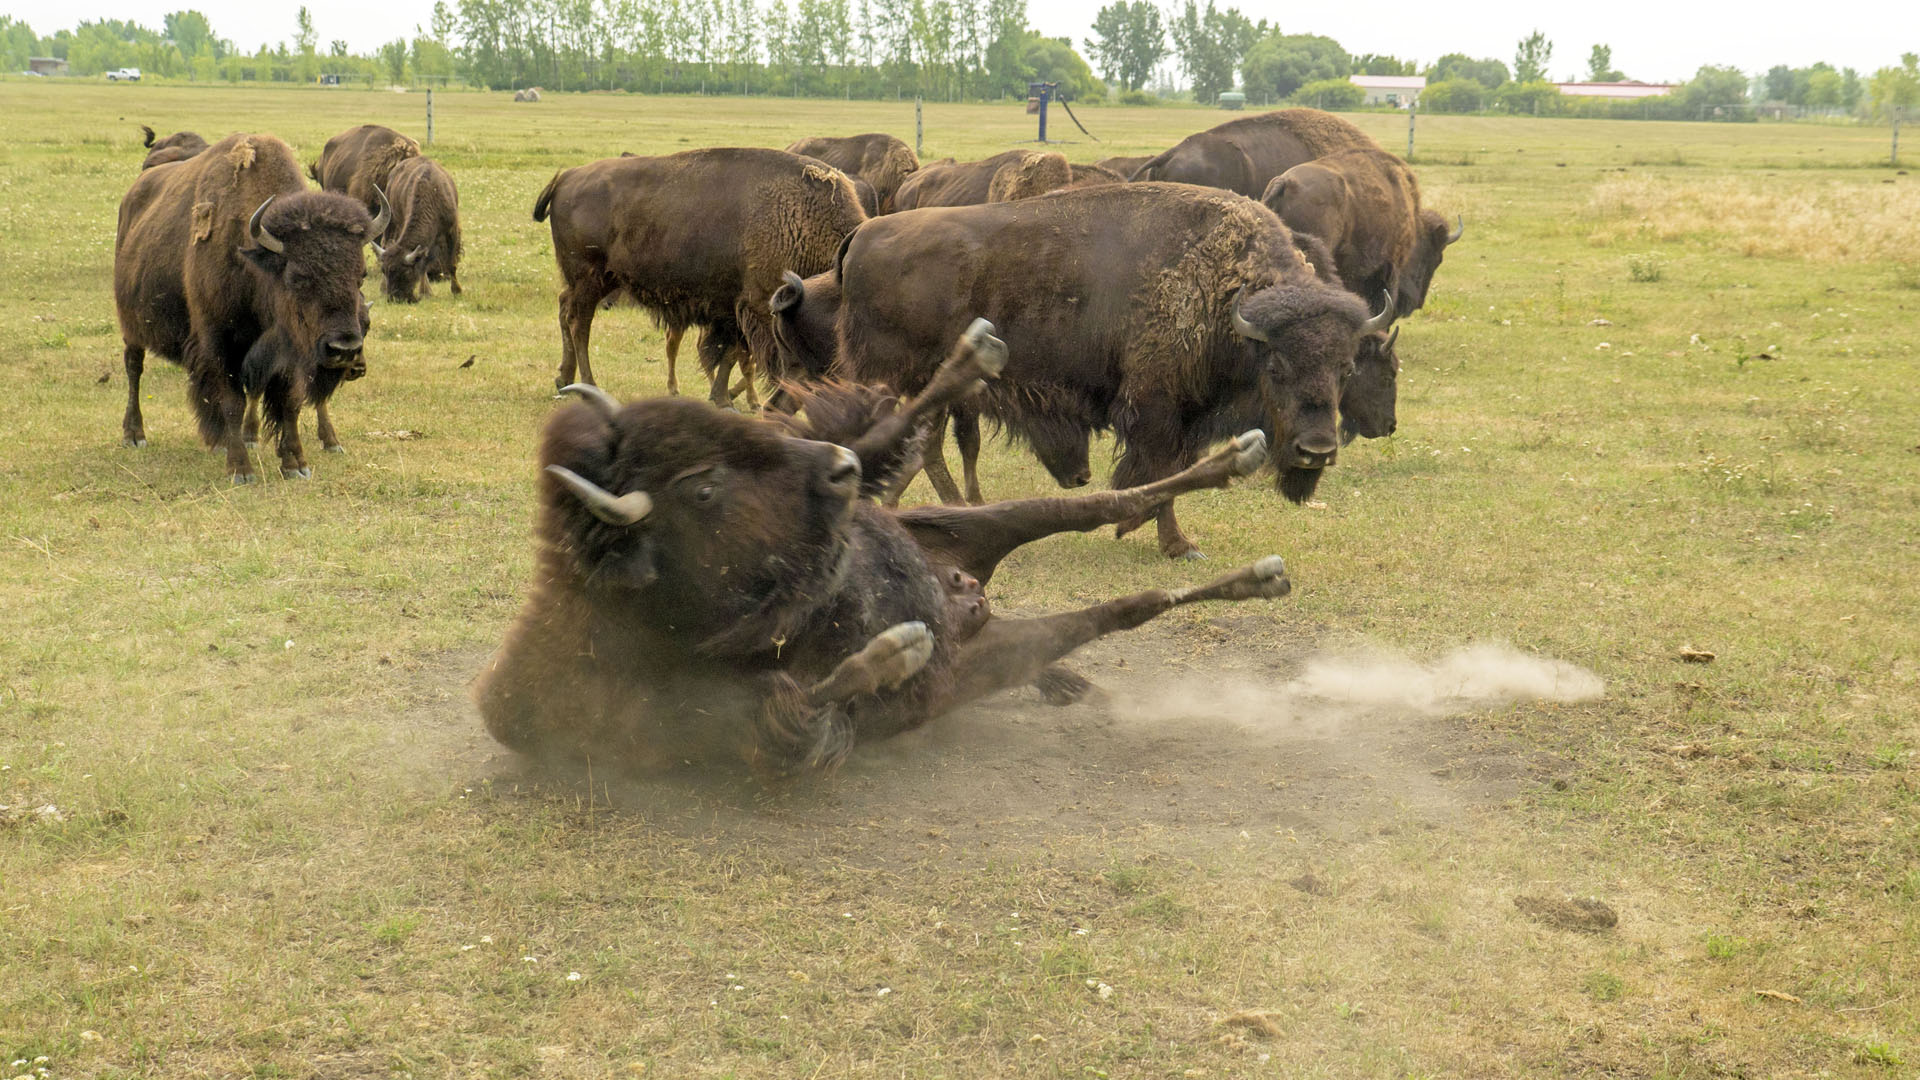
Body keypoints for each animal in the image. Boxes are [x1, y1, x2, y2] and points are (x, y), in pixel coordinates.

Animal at [114, 134, 385, 483]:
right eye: (297, 276)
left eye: (360, 273)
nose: (345, 349)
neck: (256, 265)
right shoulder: (221, 345)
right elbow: (233, 402)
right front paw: (240, 470)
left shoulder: (288, 355)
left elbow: (289, 403)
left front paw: (296, 465)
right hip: (131, 326)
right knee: (134, 369)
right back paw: (135, 435)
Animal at [372, 155, 464, 303]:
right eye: (384, 270)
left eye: (405, 273)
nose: (395, 298)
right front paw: (425, 292)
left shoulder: (451, 230)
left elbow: (450, 263)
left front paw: (457, 291)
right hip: (392, 220)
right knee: (385, 242)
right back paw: (382, 288)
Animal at [476, 323, 1288, 776]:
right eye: (700, 490)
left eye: (721, 429)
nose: (833, 473)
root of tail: (974, 598)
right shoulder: (746, 734)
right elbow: (810, 704)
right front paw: (900, 647)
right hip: (980, 660)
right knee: (1117, 605)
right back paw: (1257, 571)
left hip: (943, 521)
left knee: (1091, 508)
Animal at [532, 147, 866, 406]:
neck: (800, 219)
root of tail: (567, 177)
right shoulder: (755, 305)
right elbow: (737, 355)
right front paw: (729, 399)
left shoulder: (734, 310)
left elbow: (729, 354)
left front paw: (722, 398)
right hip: (590, 277)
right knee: (579, 323)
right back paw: (589, 386)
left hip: (599, 279)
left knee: (565, 309)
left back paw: (564, 380)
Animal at [772, 182, 1391, 559]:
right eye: (1278, 365)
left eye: (1345, 367)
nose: (1316, 450)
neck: (1223, 294)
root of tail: (863, 234)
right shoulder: (1158, 411)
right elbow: (1162, 474)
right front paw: (1169, 541)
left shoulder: (1185, 417)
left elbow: (1176, 471)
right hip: (894, 378)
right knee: (907, 442)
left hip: (935, 386)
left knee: (926, 446)